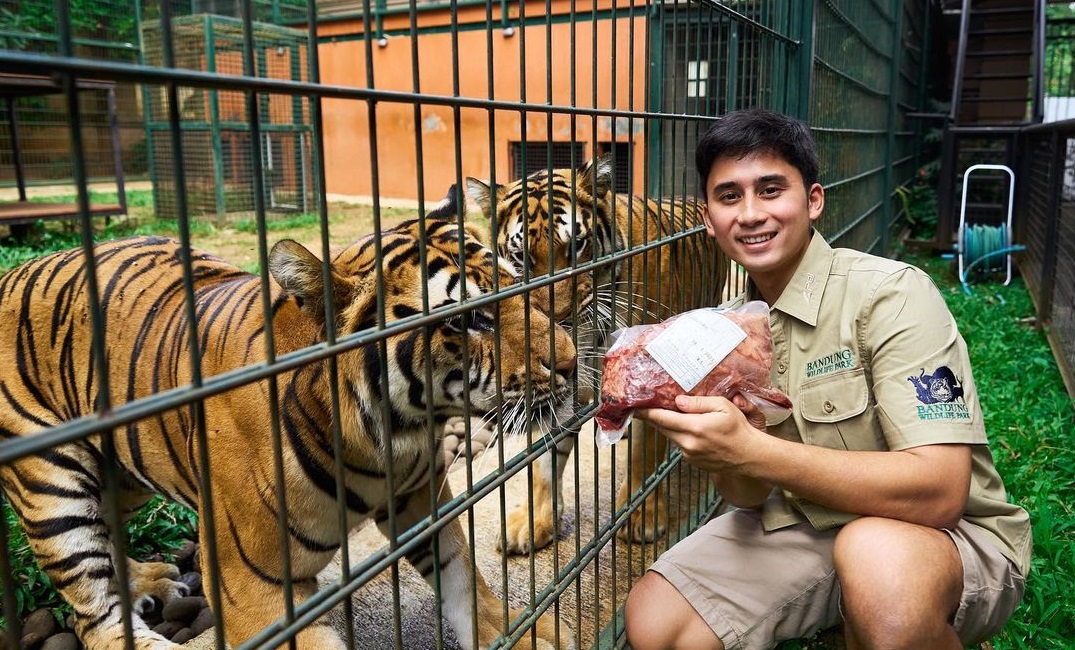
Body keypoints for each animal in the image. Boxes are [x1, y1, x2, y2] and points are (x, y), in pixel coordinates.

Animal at [0, 210, 576, 644]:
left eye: (517, 283)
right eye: (465, 320)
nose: (572, 364)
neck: (388, 437)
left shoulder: (420, 498)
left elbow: (465, 578)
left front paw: (522, 633)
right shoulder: (253, 589)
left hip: (125, 471)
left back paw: (150, 580)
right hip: (53, 489)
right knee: (93, 615)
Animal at [464, 153, 726, 554]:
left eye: (576, 246)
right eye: (521, 256)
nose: (557, 315)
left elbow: (645, 452)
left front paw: (640, 514)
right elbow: (544, 464)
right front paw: (533, 522)